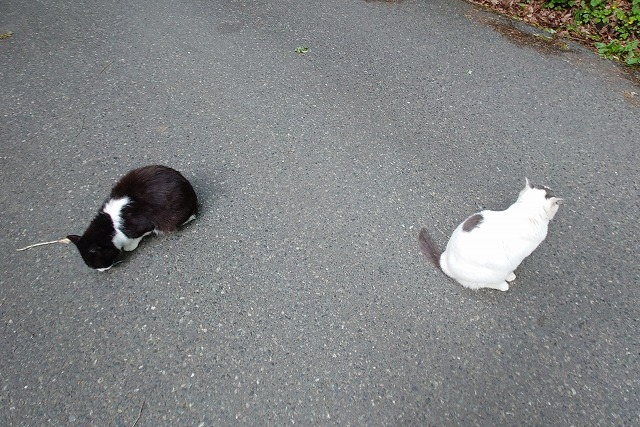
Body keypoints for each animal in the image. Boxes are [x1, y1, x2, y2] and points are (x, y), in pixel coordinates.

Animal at [67, 165, 198, 270]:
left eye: (96, 263)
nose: (101, 270)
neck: (108, 226)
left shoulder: (141, 226)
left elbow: (138, 236)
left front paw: (129, 247)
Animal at [420, 179, 560, 292]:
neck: (526, 210)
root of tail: (445, 262)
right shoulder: (518, 256)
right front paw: (510, 276)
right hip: (489, 274)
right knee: (485, 284)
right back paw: (503, 284)